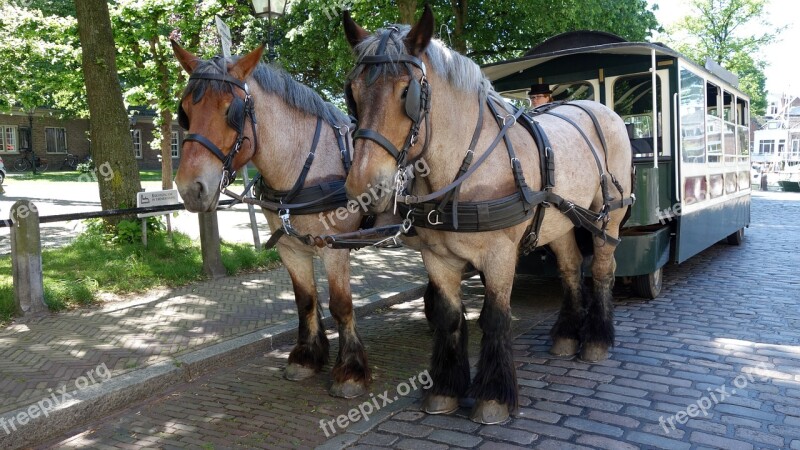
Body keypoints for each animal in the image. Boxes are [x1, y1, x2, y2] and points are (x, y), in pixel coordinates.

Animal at [172, 41, 372, 398]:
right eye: (185, 111)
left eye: (232, 111)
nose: (190, 188)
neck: (307, 164)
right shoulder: (291, 248)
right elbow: (305, 301)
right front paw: (306, 357)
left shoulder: (333, 248)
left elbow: (341, 304)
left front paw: (350, 372)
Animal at [342, 5, 632, 424]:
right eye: (352, 93)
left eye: (407, 92)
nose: (364, 188)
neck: (464, 168)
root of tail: (603, 110)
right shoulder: (437, 257)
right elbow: (449, 317)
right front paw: (445, 389)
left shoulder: (499, 254)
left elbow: (495, 317)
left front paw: (493, 397)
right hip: (561, 220)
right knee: (570, 268)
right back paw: (566, 336)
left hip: (607, 218)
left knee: (602, 270)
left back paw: (596, 340)